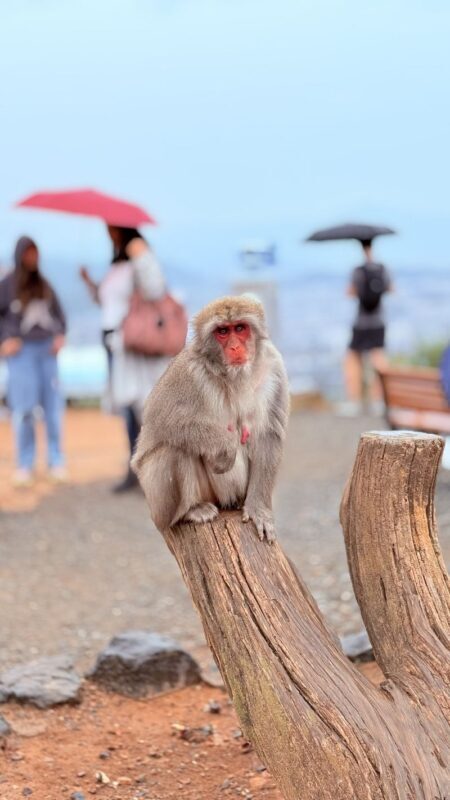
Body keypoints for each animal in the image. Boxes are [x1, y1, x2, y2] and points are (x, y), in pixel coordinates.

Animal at [131, 295, 289, 542]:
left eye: (240, 328)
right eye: (222, 332)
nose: (235, 347)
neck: (233, 376)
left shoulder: (274, 366)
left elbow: (268, 435)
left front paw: (258, 510)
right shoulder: (186, 371)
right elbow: (161, 421)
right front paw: (227, 447)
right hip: (157, 502)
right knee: (174, 448)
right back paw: (190, 511)